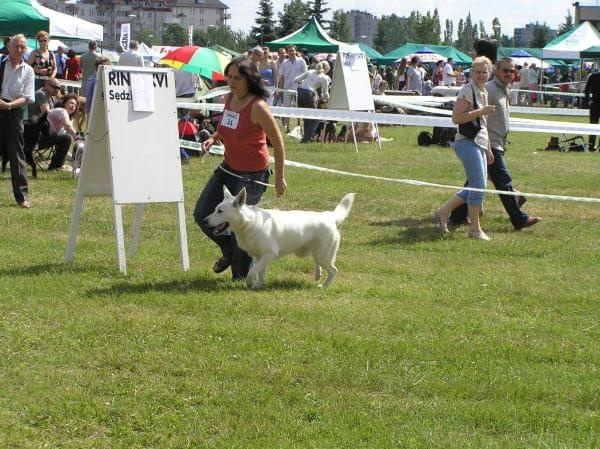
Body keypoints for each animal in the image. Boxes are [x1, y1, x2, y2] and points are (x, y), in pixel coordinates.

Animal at [204, 186, 354, 288]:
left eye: (220, 211)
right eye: (215, 209)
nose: (204, 221)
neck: (250, 222)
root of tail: (330, 217)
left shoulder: (268, 255)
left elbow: (252, 272)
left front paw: (250, 284)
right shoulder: (260, 257)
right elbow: (260, 273)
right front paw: (258, 286)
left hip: (322, 254)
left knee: (333, 270)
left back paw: (324, 286)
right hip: (316, 253)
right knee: (321, 264)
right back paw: (318, 275)